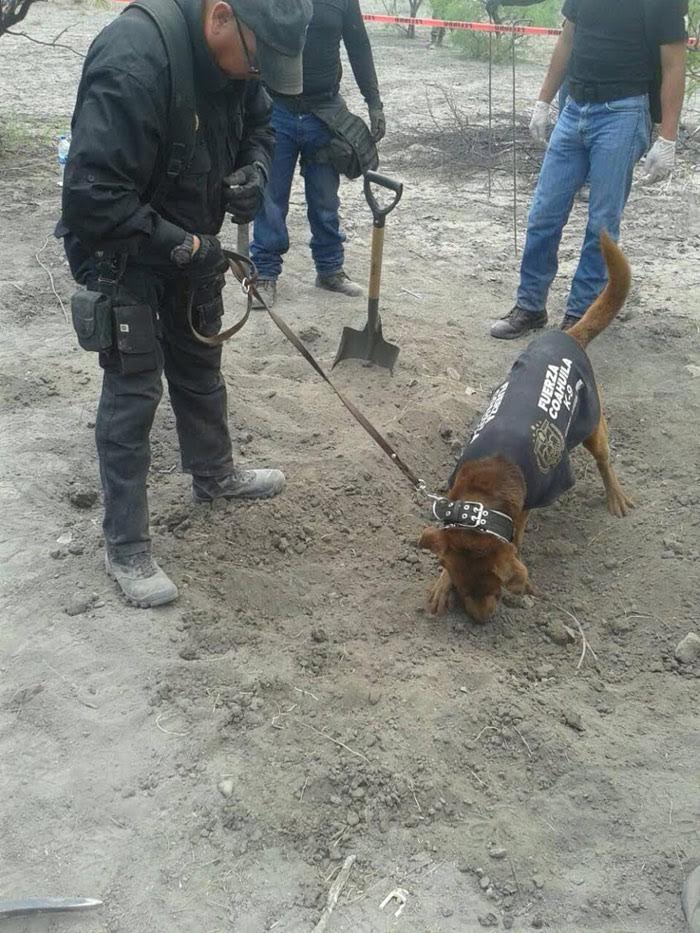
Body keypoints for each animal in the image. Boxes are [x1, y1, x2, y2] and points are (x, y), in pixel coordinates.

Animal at [422, 233, 636, 624]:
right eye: (462, 587)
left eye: (494, 588)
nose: (479, 621)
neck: (486, 486)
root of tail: (567, 336)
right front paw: (441, 583)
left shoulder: (528, 503)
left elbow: (517, 538)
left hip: (591, 423)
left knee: (604, 460)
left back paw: (614, 494)